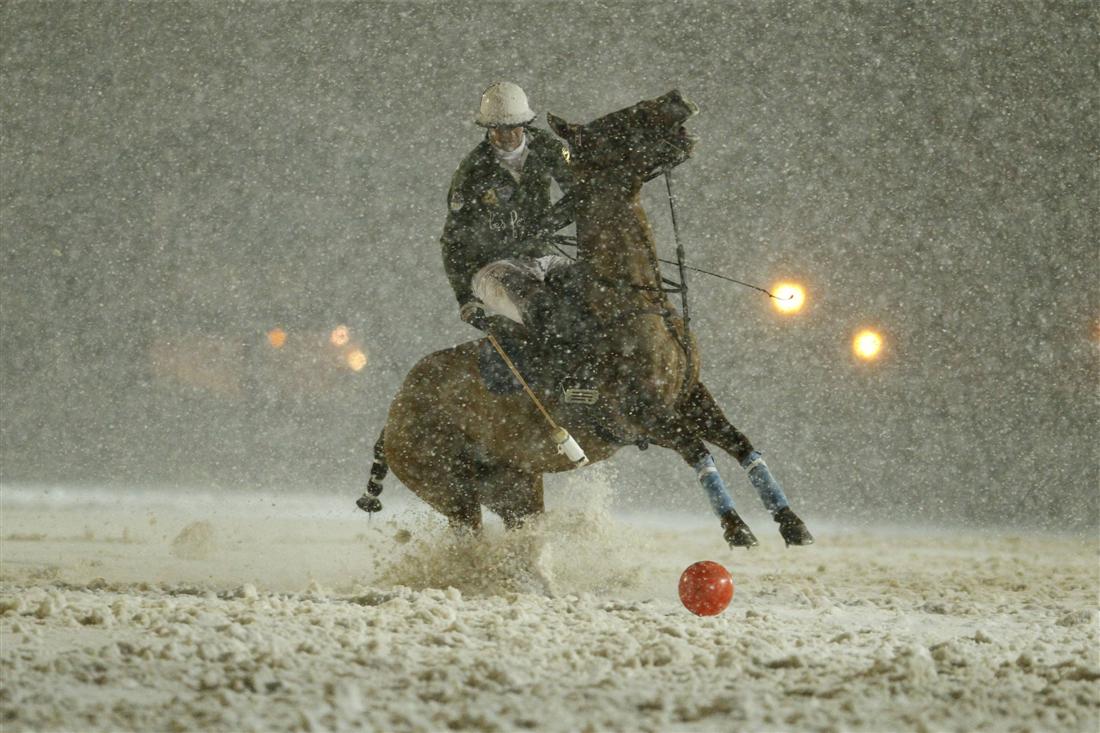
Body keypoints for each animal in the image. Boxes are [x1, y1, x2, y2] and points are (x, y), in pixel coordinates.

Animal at [360, 90, 813, 550]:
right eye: (616, 123)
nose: (676, 96)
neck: (630, 297)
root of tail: (391, 415)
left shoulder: (690, 396)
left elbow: (740, 443)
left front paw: (791, 522)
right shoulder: (642, 416)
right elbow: (697, 450)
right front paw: (736, 528)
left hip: (515, 486)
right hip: (451, 489)